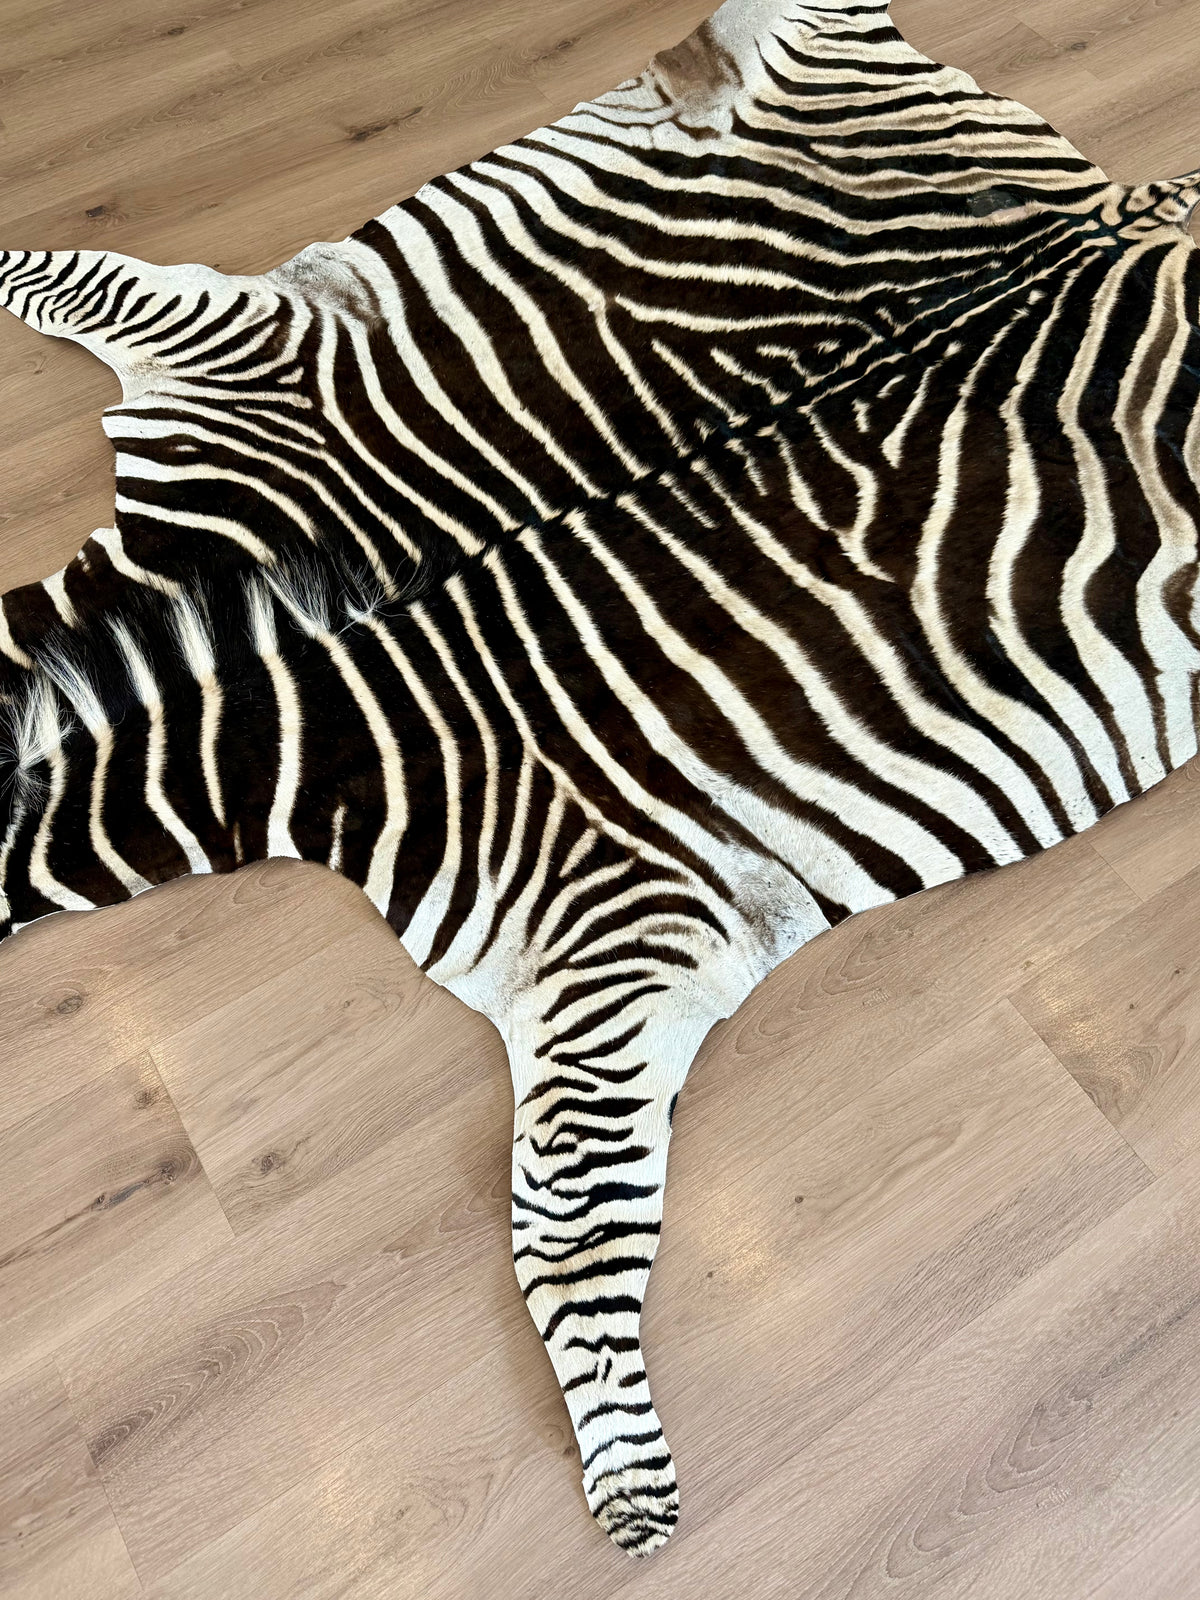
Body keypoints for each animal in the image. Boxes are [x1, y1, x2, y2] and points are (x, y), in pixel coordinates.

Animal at [2, 0, 1199, 1557]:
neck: (343, 715)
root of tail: (1128, 204)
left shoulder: (624, 934)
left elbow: (564, 1239)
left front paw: (630, 1485)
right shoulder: (231, 390)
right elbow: (78, 274)